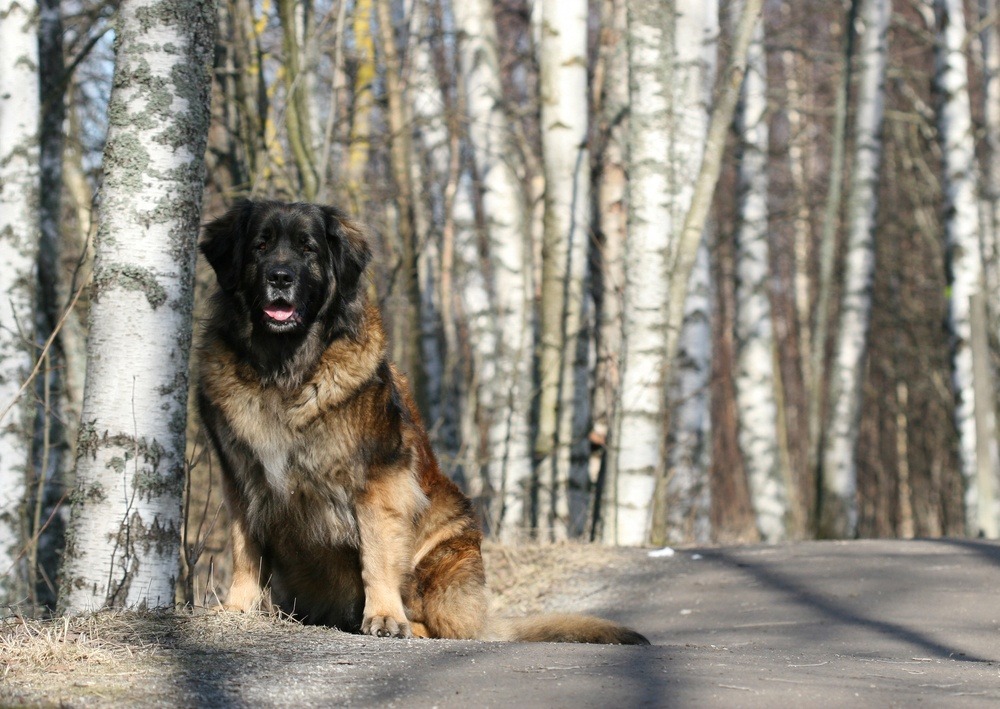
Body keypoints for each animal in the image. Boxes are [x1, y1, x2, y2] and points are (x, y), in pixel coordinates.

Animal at [195, 196, 648, 644]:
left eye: (308, 249)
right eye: (261, 246)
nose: (280, 276)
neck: (285, 371)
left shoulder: (379, 480)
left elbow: (376, 554)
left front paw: (383, 617)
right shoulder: (242, 479)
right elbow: (244, 548)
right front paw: (236, 608)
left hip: (445, 540)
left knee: (441, 623)